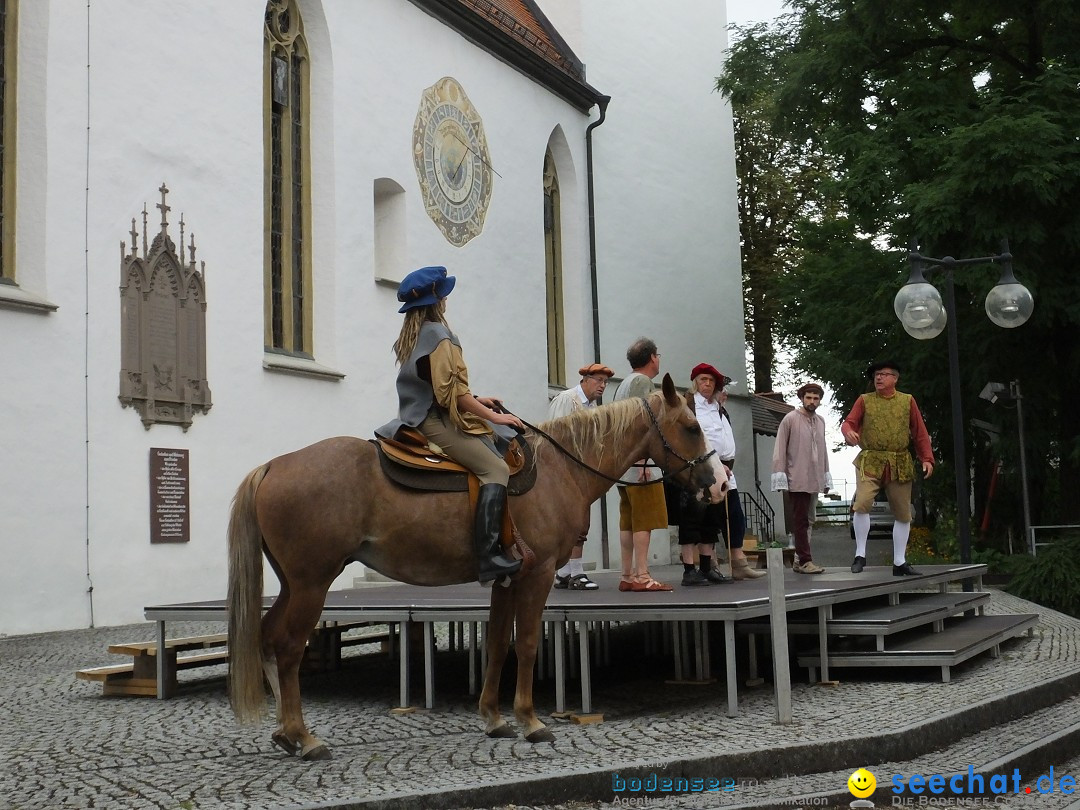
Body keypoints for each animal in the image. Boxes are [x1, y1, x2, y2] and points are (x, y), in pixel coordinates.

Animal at [228, 373, 730, 760]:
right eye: (691, 426)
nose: (720, 483)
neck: (559, 468)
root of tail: (273, 466)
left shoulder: (505, 579)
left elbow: (497, 645)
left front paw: (494, 717)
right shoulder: (537, 575)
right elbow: (526, 645)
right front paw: (530, 721)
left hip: (292, 583)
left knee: (267, 637)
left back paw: (284, 732)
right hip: (312, 583)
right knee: (289, 647)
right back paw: (304, 736)